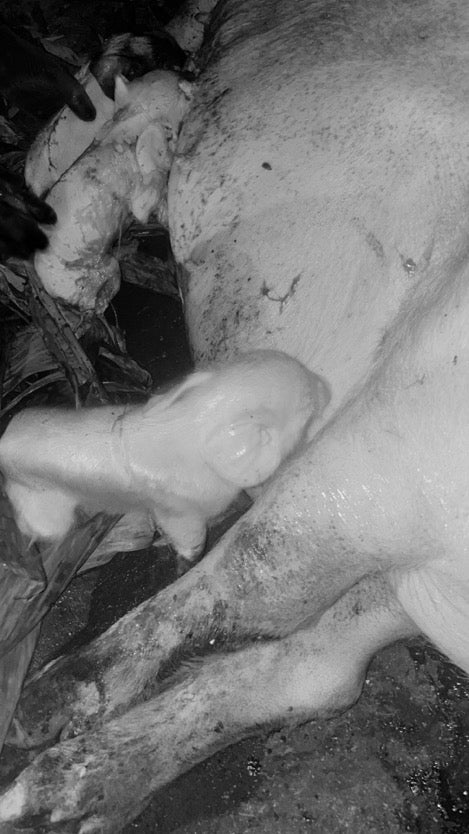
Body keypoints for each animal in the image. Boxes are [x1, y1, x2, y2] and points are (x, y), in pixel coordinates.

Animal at [0, 350, 326, 561]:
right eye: (303, 406)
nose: (323, 384)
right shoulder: (176, 510)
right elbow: (188, 538)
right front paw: (187, 558)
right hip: (42, 508)